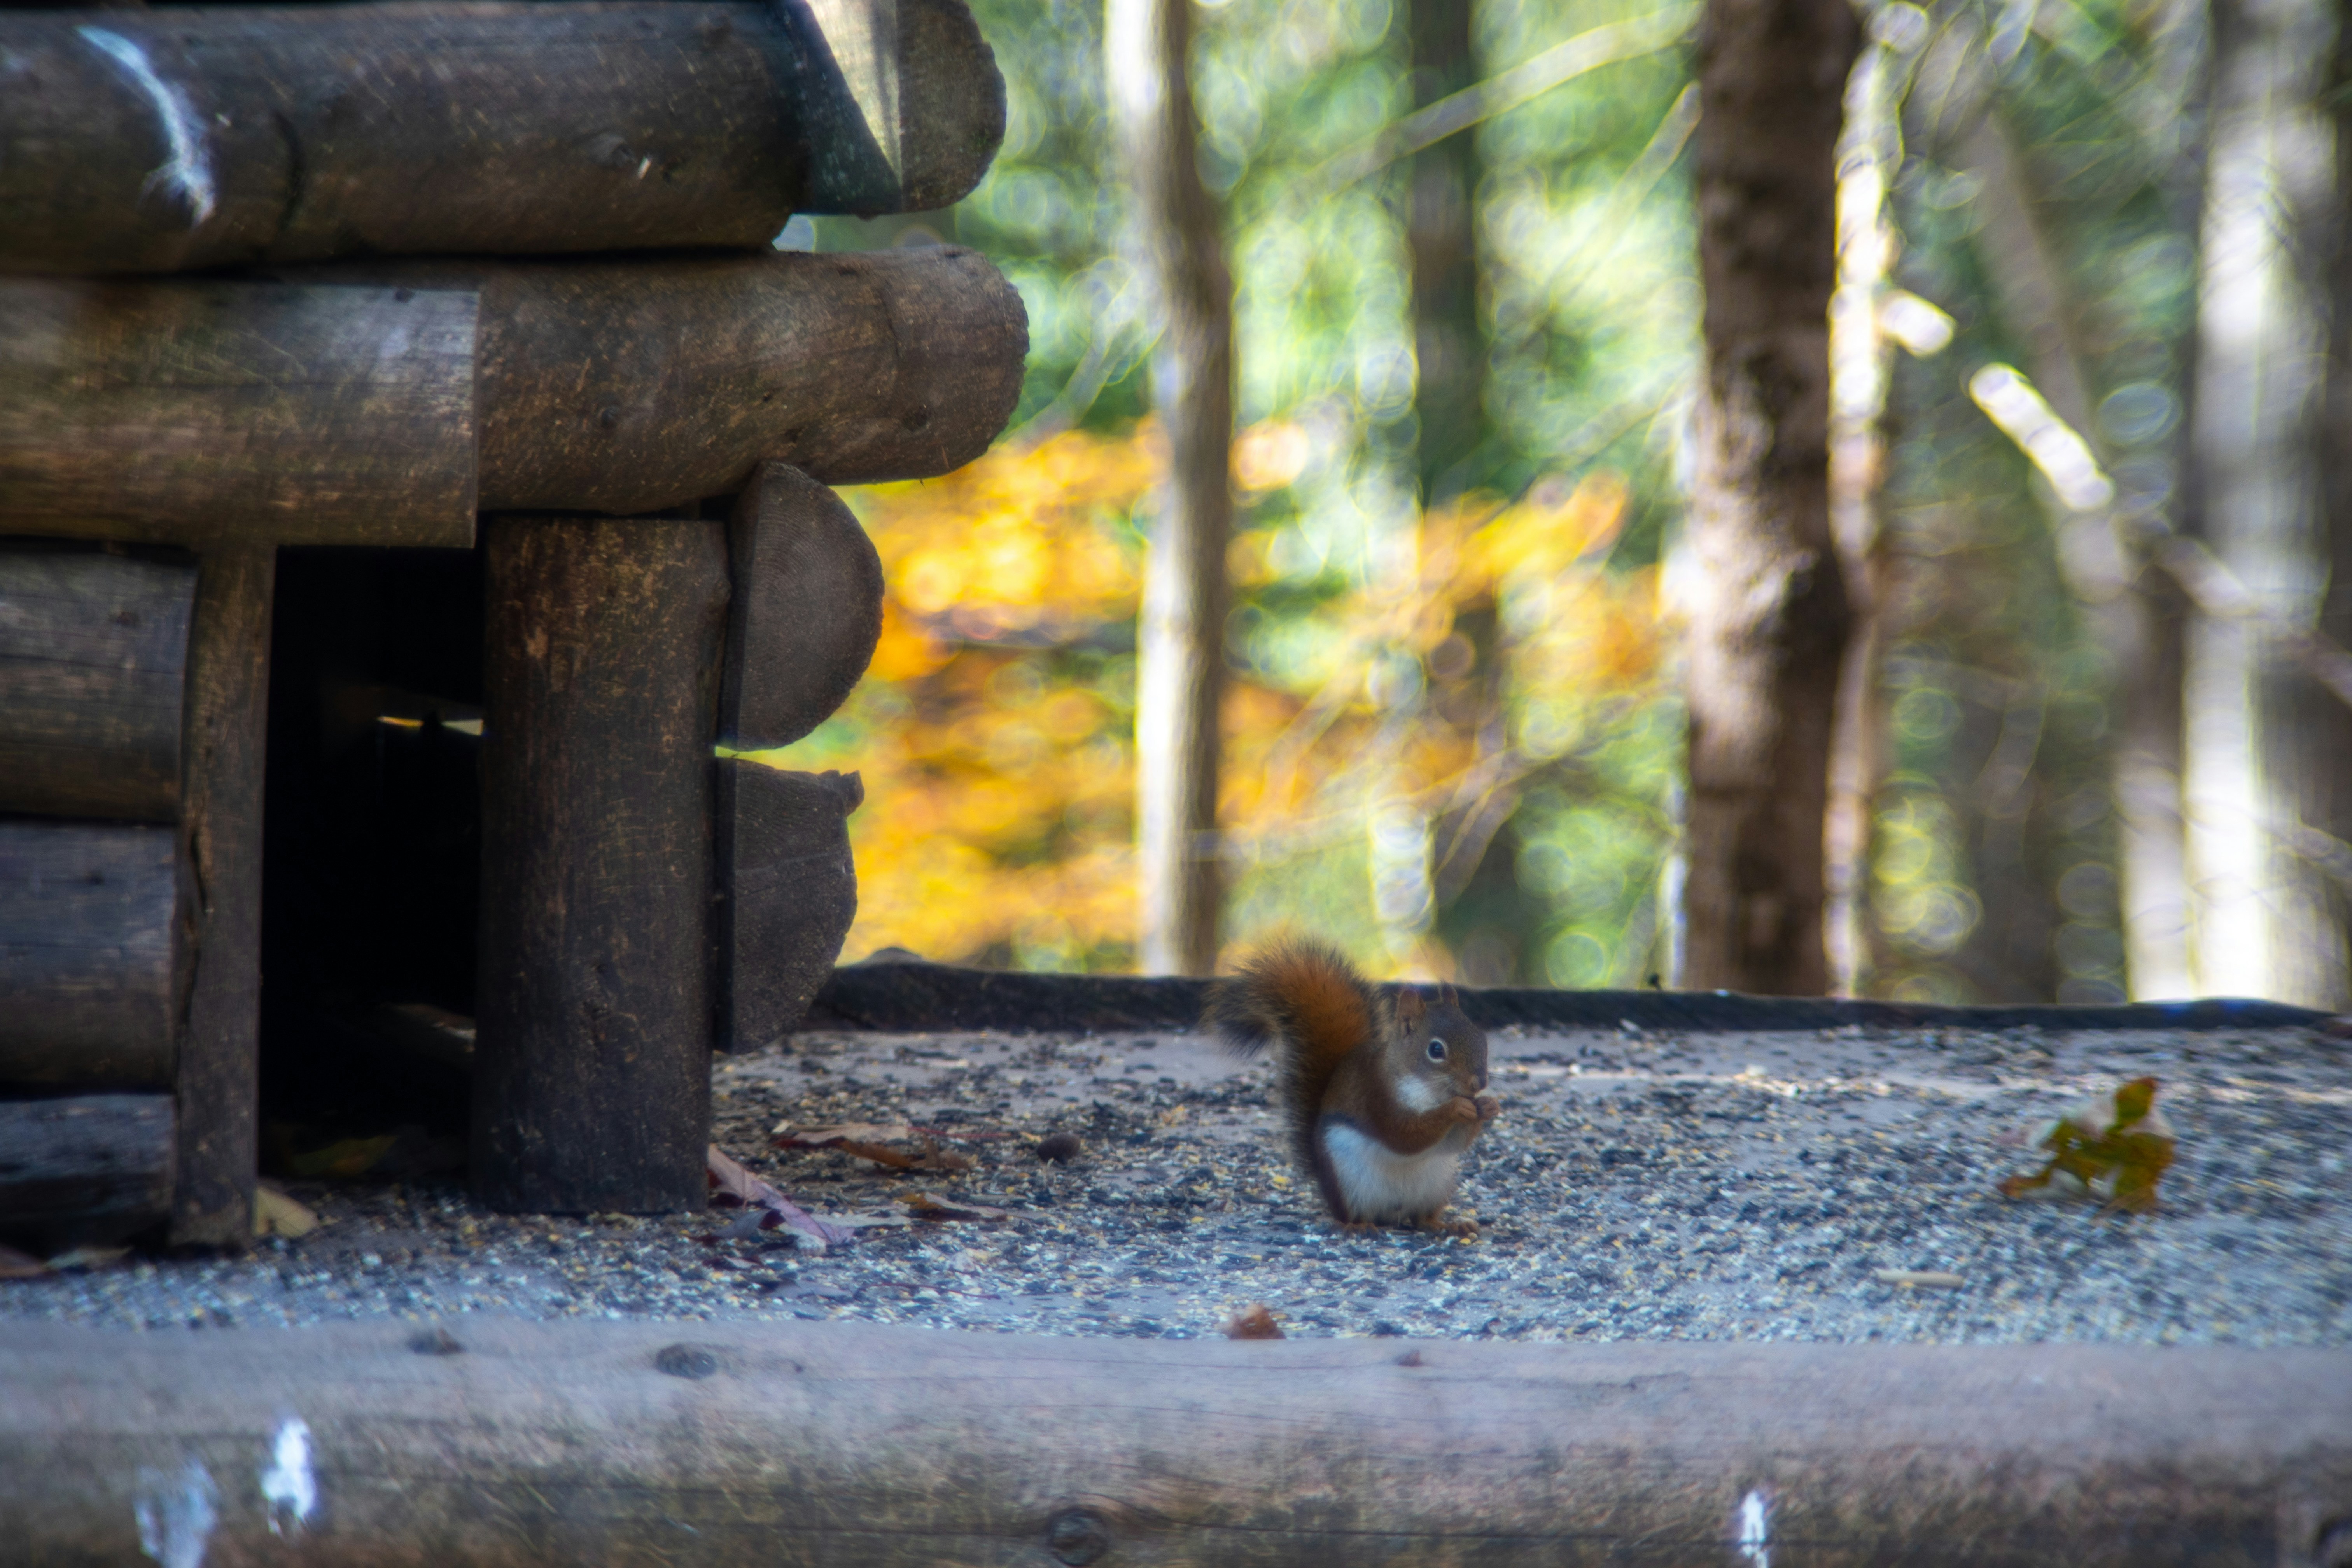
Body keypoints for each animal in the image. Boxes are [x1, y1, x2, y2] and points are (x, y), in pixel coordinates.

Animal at [1206, 938, 1501, 1232]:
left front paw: (1488, 1106)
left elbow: (1453, 1144)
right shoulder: (1377, 1096)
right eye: (1436, 1050)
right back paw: (1359, 1226)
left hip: (1437, 1184)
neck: (1431, 1090)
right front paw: (1457, 1107)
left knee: (1421, 1218)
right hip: (1348, 1182)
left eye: (1480, 1037)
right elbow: (1405, 1135)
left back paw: (1445, 1226)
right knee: (1349, 1216)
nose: (1480, 1082)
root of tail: (1392, 1215)